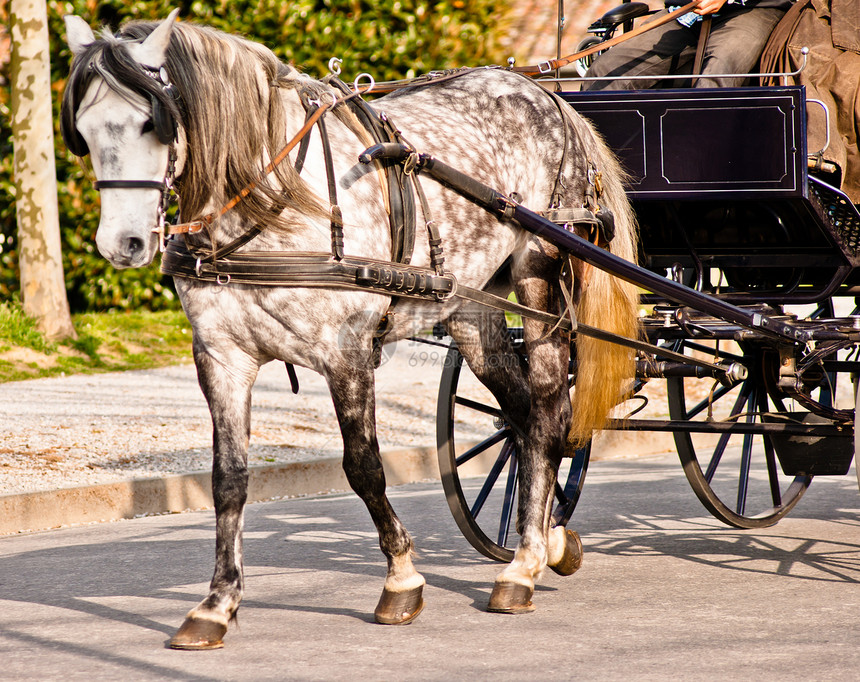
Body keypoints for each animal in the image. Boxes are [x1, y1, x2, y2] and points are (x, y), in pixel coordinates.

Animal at [62, 10, 640, 648]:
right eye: (83, 131)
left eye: (151, 122)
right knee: (521, 415)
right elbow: (228, 479)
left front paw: (402, 580)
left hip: (541, 277)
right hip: (469, 306)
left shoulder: (347, 354)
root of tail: (546, 96)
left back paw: (527, 561)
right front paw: (216, 604)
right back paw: (546, 540)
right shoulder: (221, 357)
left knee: (547, 410)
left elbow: (363, 467)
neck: (274, 205)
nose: (122, 244)